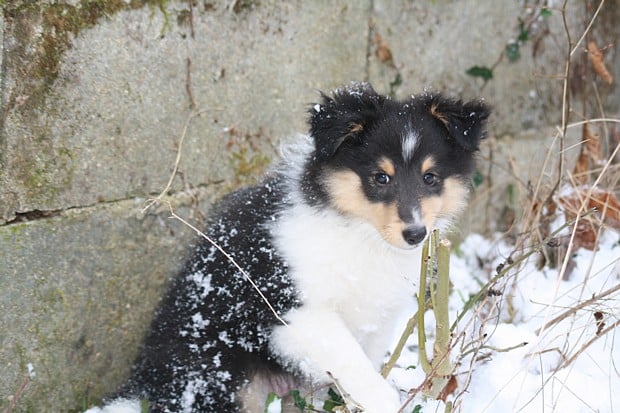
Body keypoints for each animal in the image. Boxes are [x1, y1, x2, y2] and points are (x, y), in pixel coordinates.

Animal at [91, 82, 490, 410]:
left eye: (430, 178)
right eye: (380, 178)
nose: (415, 234)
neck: (359, 233)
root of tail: (141, 380)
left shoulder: (377, 319)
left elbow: (365, 360)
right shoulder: (297, 312)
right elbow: (350, 360)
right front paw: (383, 400)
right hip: (217, 379)